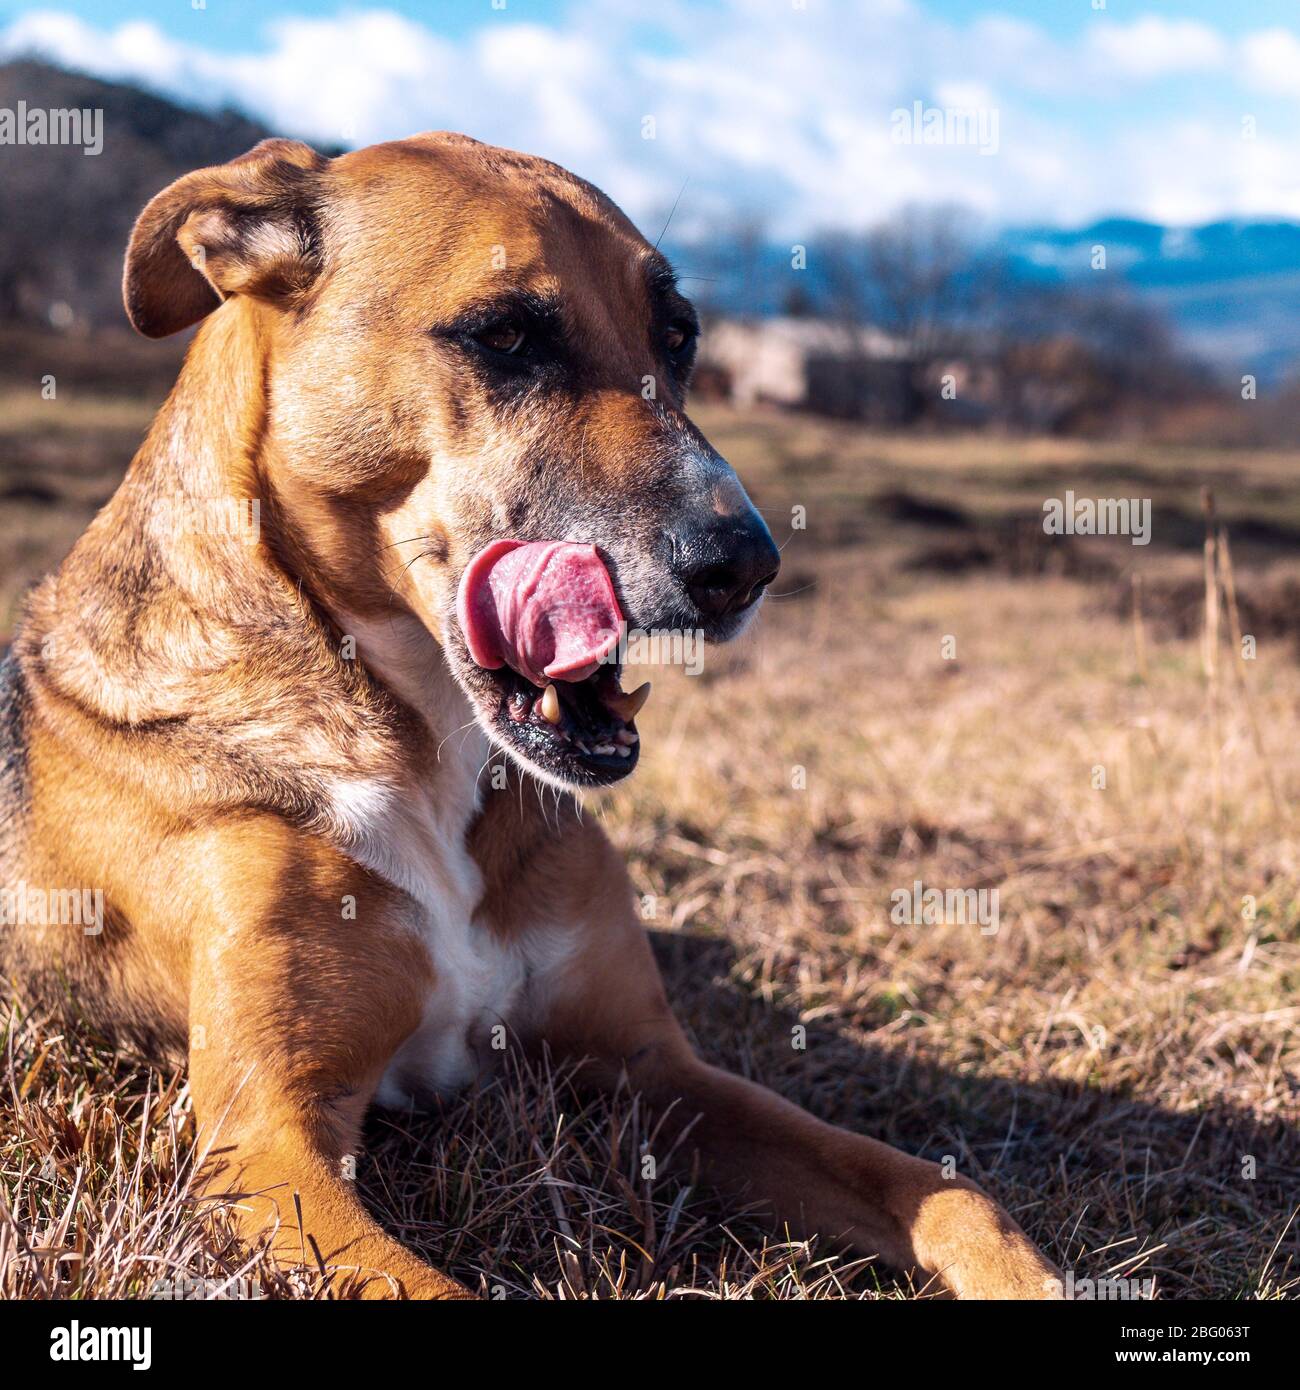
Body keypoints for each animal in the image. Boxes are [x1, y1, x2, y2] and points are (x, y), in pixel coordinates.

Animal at [0, 135, 1056, 1295]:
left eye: (678, 337)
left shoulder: (653, 1068)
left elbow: (939, 1188)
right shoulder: (268, 1137)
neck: (425, 753)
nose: (745, 565)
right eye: (506, 336)